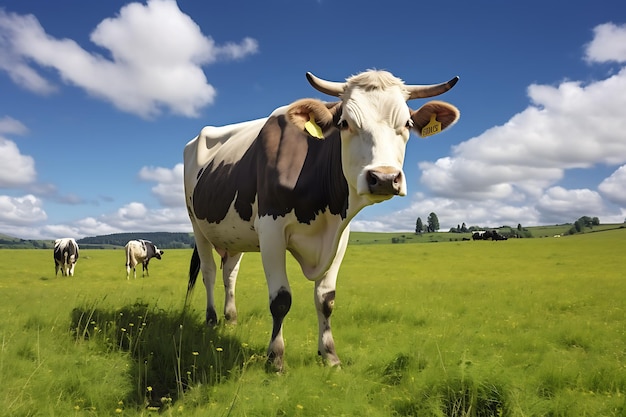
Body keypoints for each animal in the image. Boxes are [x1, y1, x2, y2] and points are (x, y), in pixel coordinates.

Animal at [182, 69, 458, 370]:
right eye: (345, 123)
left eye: (407, 124)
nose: (384, 177)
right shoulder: (270, 230)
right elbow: (281, 300)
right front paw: (276, 359)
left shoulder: (341, 236)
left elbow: (326, 299)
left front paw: (330, 356)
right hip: (197, 225)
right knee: (209, 272)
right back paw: (211, 321)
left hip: (233, 235)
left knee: (229, 273)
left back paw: (230, 320)